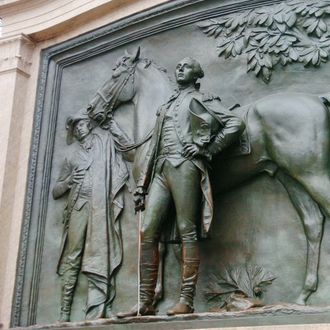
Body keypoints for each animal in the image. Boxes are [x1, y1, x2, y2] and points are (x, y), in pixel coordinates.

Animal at [87, 47, 330, 306]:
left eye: (115, 75)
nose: (92, 109)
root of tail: (317, 99)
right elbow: (164, 244)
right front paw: (156, 298)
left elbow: (167, 245)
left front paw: (157, 300)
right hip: (292, 179)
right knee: (313, 223)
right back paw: (303, 295)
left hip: (312, 175)